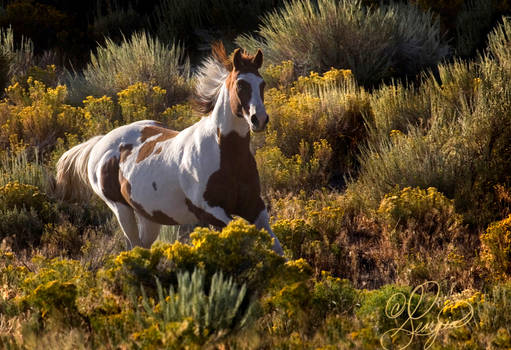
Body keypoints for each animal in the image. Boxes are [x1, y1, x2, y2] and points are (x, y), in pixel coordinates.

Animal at [58, 43, 286, 256]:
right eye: (240, 84)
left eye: (262, 83)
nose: (259, 119)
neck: (225, 154)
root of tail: (100, 142)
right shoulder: (212, 213)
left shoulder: (254, 207)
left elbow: (277, 247)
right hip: (121, 209)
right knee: (133, 246)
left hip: (149, 216)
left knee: (142, 246)